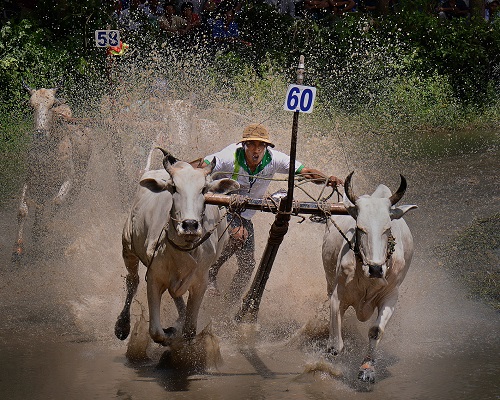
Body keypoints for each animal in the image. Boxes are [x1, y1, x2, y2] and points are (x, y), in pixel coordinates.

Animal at [114, 148, 239, 346]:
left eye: (204, 189)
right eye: (173, 187)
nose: (189, 225)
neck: (184, 249)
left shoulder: (201, 281)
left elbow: (189, 330)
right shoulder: (154, 277)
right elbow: (156, 331)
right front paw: (169, 334)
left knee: (174, 295)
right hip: (128, 247)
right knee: (132, 281)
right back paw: (122, 325)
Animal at [322, 171, 416, 382]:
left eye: (387, 229)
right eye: (360, 227)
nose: (375, 269)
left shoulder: (391, 296)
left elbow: (375, 331)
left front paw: (367, 368)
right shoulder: (337, 295)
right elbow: (336, 344)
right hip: (329, 281)